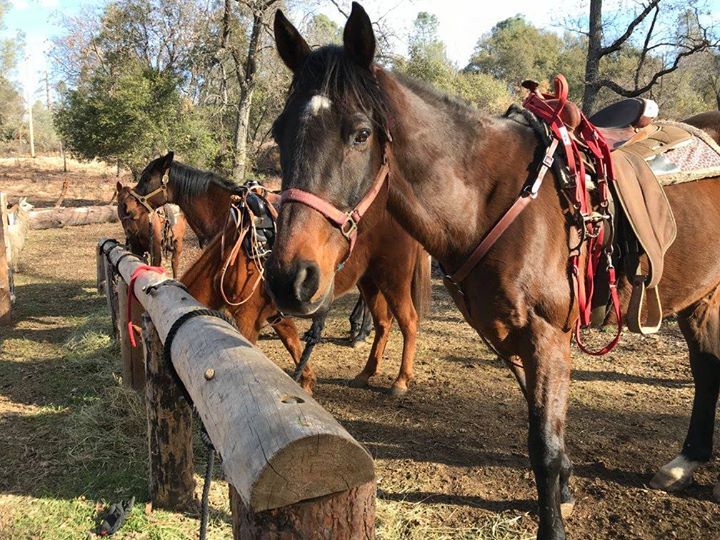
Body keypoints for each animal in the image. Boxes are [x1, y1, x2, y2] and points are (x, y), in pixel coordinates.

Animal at [135, 157, 431, 395]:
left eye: (147, 178)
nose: (130, 206)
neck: (228, 261)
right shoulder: (273, 313)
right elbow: (293, 343)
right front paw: (307, 381)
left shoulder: (248, 319)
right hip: (369, 280)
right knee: (383, 323)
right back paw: (365, 370)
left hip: (393, 278)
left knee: (408, 322)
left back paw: (400, 381)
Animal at [265, 4, 720, 539]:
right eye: (279, 132)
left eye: (360, 133)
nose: (290, 278)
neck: (492, 201)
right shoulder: (511, 337)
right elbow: (546, 432)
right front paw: (565, 491)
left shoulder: (546, 337)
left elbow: (544, 448)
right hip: (699, 300)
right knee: (708, 369)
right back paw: (686, 462)